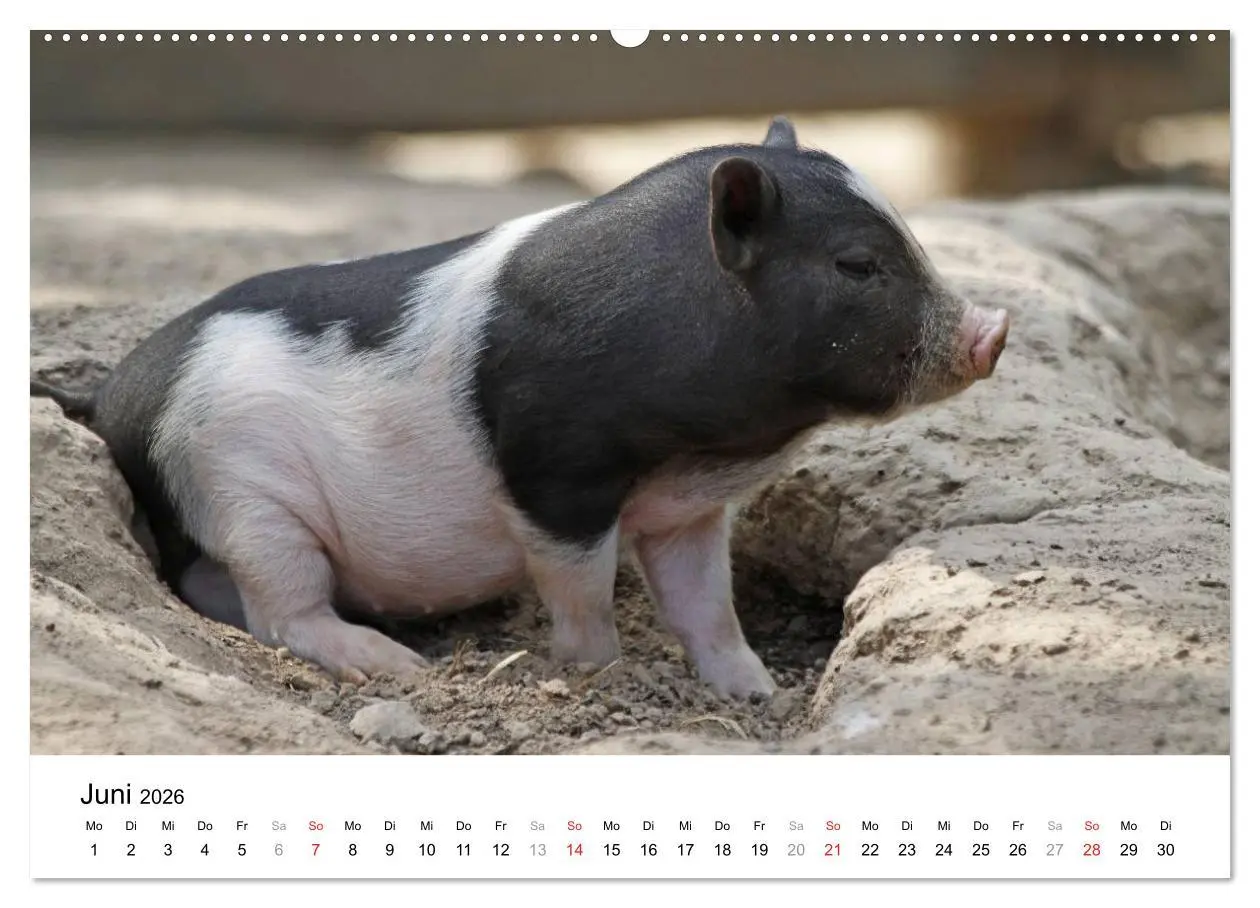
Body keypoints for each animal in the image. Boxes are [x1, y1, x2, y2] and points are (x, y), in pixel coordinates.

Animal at [30, 117, 1008, 698]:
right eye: (856, 265)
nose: (993, 330)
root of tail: (110, 396)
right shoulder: (556, 471)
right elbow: (581, 592)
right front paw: (599, 675)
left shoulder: (689, 509)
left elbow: (707, 603)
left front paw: (756, 691)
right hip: (241, 490)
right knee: (278, 608)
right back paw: (398, 664)